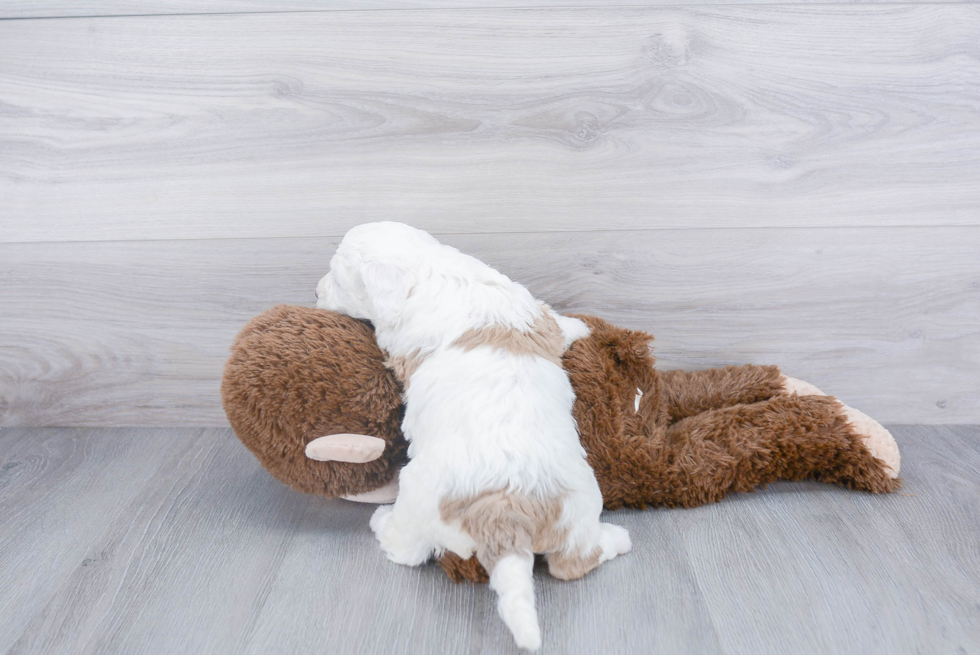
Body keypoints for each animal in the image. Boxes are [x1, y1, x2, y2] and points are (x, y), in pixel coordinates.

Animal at [318, 224, 632, 652]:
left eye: (337, 278)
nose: (317, 290)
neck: (426, 268)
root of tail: (505, 515)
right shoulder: (530, 310)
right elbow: (557, 323)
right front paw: (582, 328)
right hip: (578, 507)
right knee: (573, 562)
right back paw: (618, 538)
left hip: (418, 499)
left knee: (409, 551)